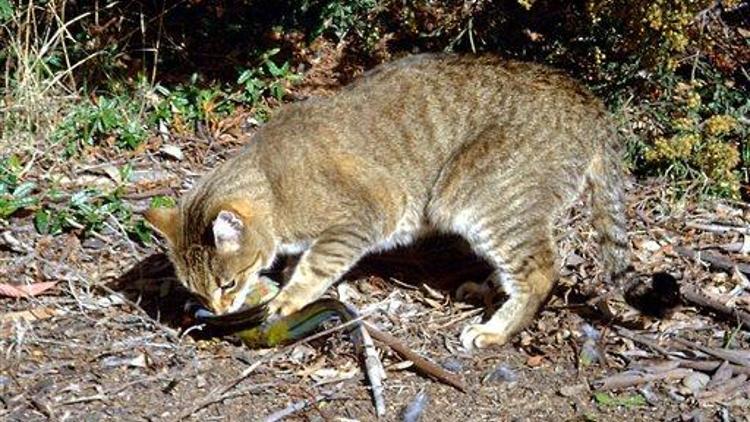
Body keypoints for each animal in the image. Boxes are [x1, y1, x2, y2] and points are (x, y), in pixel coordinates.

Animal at [144, 53, 632, 350]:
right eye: (197, 290)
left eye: (226, 284)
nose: (219, 310)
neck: (273, 183)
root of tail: (590, 103)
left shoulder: (365, 215)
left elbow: (315, 265)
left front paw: (287, 298)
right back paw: (488, 288)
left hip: (479, 200)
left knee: (541, 269)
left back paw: (495, 331)